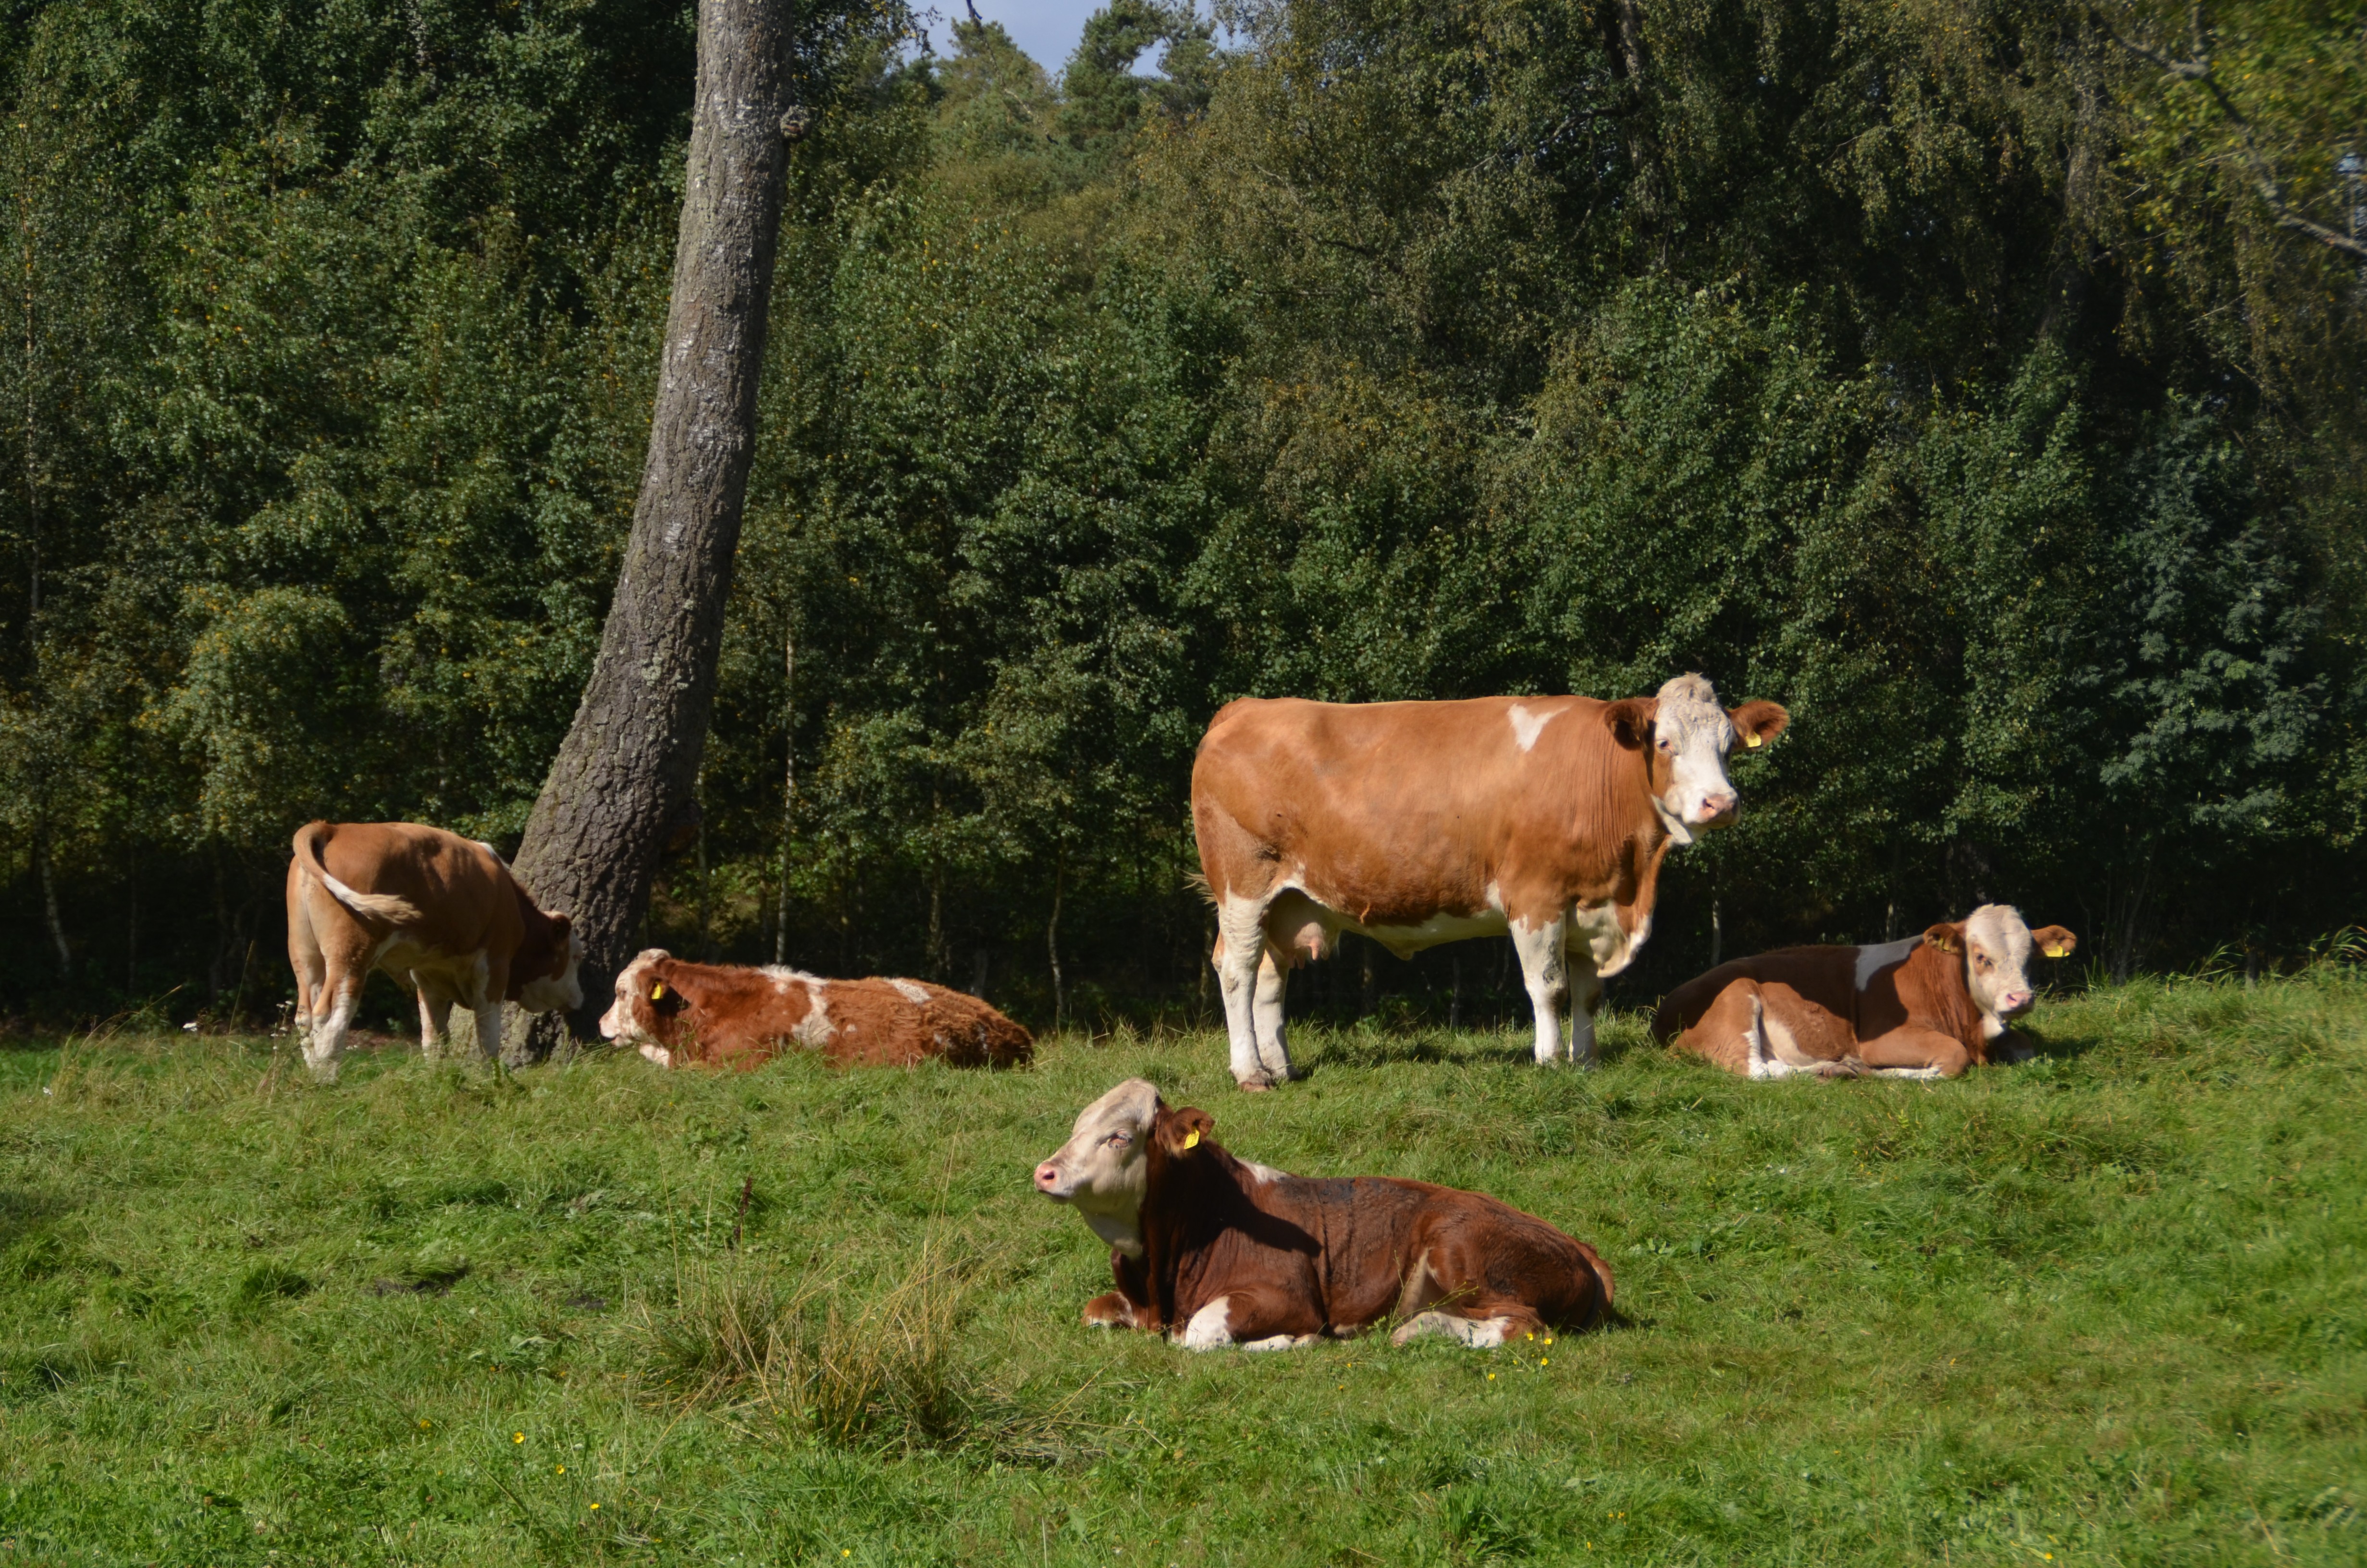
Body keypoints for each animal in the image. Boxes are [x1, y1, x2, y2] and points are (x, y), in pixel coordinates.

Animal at [285, 821, 582, 1081]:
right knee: (331, 1014)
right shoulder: (495, 965)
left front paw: (437, 1078)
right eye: (576, 957)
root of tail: (333, 828)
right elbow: (488, 1035)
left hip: (305, 954)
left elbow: (433, 1037)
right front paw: (491, 1080)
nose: (580, 997)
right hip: (351, 953)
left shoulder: (427, 974)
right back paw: (326, 1080)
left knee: (305, 1016)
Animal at [1031, 1078, 1614, 1350]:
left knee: (1523, 1325)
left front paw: (1292, 1342)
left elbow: (1202, 1334)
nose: (1045, 1172)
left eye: (1119, 1136)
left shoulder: (1289, 1297)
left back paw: (1415, 1331)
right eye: (1077, 1126)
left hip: (1458, 1247)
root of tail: (1576, 1243)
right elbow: (1094, 1311)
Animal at [1191, 673, 1789, 1088]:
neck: (1628, 882)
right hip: (1243, 884)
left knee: (1270, 977)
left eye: (1730, 745)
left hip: (1287, 900)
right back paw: (1250, 1074)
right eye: (1665, 742)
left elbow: (1589, 994)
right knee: (1238, 969)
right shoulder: (1535, 896)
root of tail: (1246, 708)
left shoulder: (1588, 906)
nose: (1721, 803)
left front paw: (1587, 1063)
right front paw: (1550, 1061)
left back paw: (1282, 1068)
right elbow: (1548, 987)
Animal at [1651, 905, 2078, 1080]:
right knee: (1754, 1070)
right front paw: (1886, 1072)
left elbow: (2027, 1046)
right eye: (1980, 957)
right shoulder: (1881, 1038)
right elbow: (1953, 1059)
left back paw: (1832, 1068)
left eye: (2030, 957)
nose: (2020, 999)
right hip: (1737, 999)